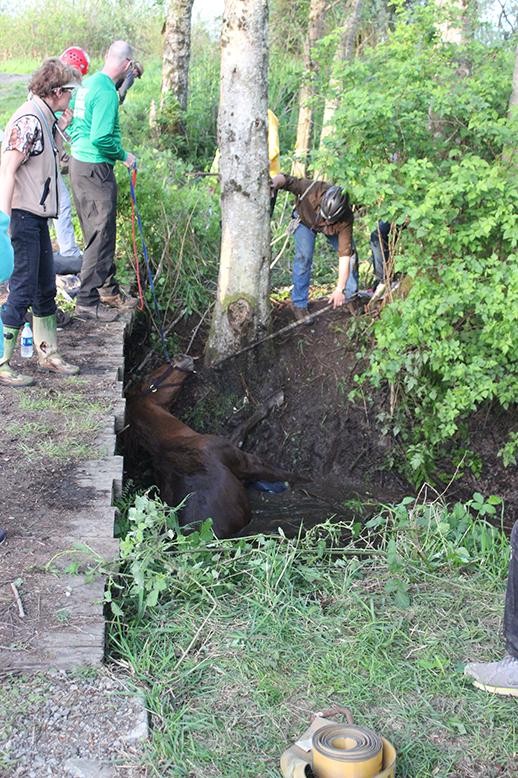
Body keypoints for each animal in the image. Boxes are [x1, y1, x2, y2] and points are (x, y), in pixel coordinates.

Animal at [126, 354, 300, 536]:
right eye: (152, 377)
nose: (180, 356)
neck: (170, 442)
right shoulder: (242, 460)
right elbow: (281, 472)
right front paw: (275, 399)